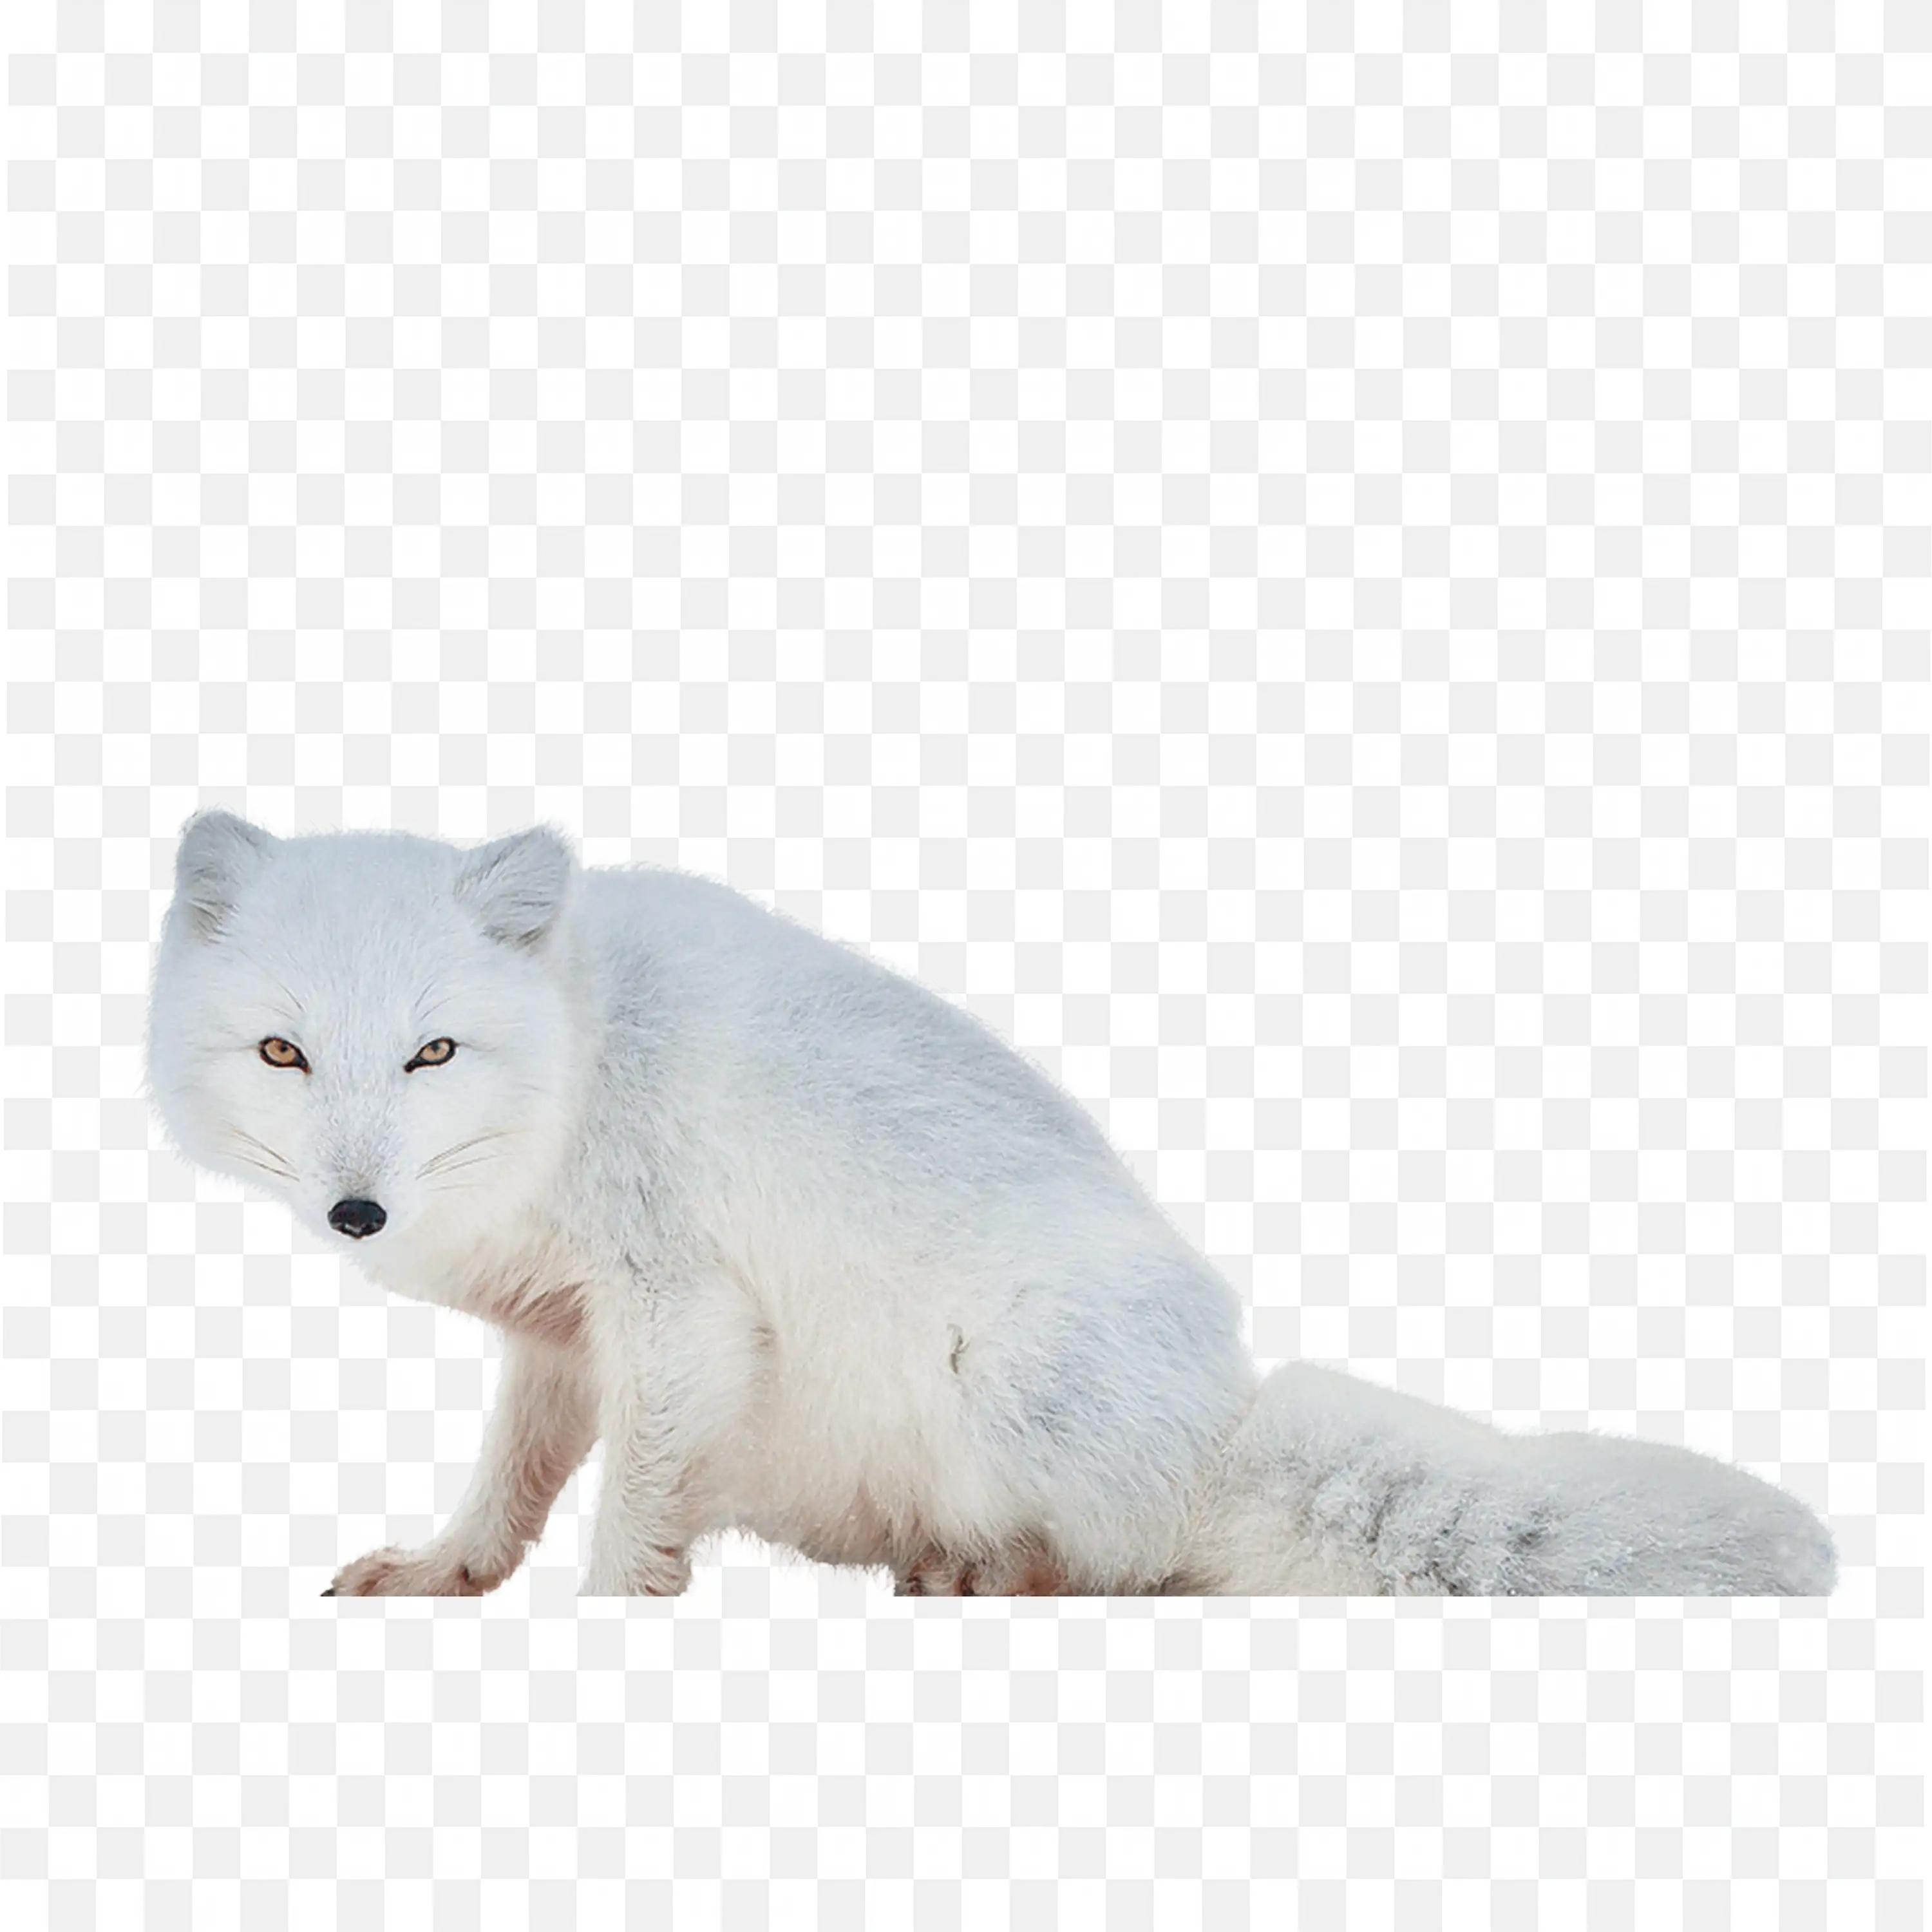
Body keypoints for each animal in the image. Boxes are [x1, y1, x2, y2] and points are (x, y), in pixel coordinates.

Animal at [143, 810, 1839, 1599]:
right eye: (286, 1052)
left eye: (432, 1051)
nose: (356, 1213)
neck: (578, 1054)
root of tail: (1219, 1414)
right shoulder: (563, 1332)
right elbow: (511, 1485)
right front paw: (448, 1575)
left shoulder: (676, 1313)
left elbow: (629, 1513)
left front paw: (598, 1634)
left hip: (1018, 1379)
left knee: (1138, 1560)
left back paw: (991, 1575)